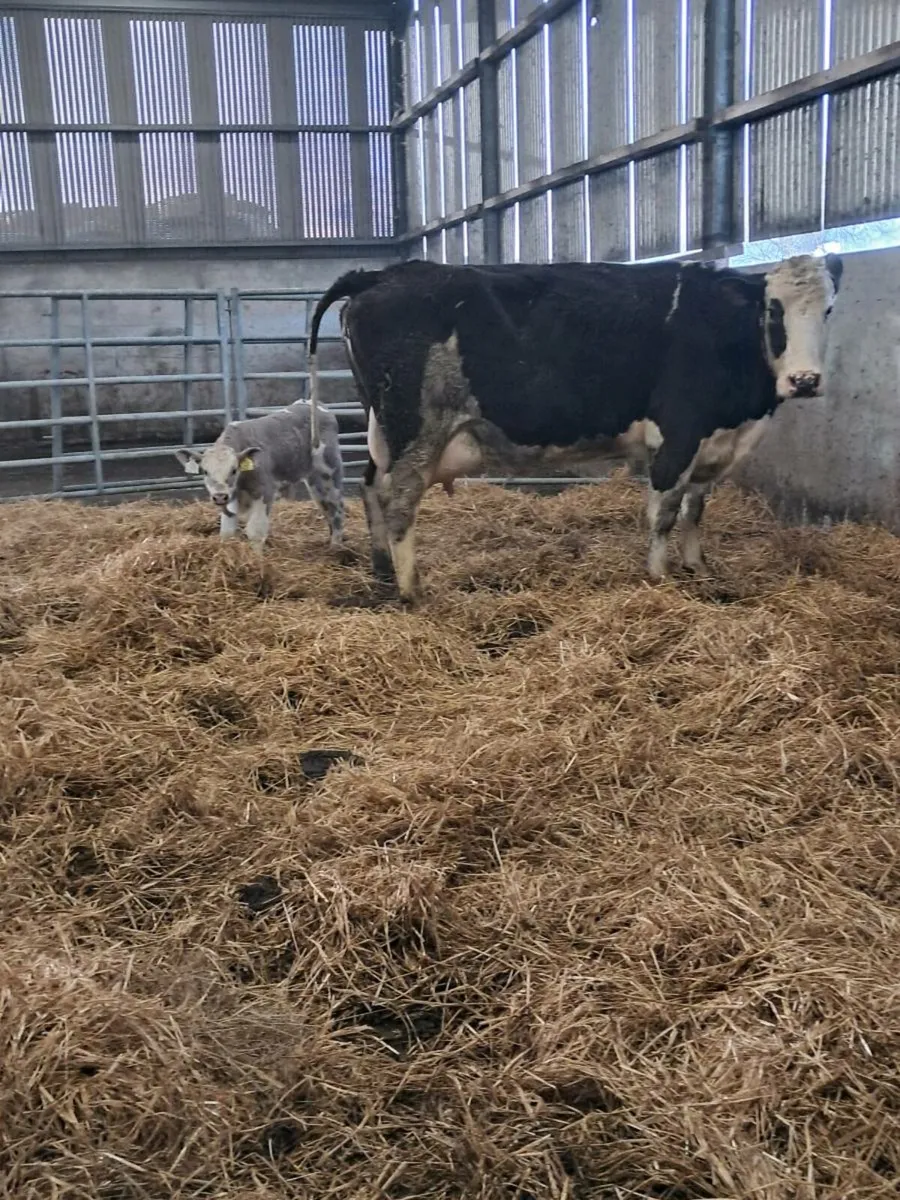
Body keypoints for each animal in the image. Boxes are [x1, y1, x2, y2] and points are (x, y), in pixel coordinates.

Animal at [175, 399, 344, 550]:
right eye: (205, 471)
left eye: (234, 470)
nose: (220, 496)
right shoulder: (230, 501)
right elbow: (227, 532)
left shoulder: (264, 493)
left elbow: (256, 531)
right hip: (314, 481)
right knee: (325, 507)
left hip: (330, 472)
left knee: (337, 508)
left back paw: (336, 549)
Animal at [307, 253, 843, 604]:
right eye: (773, 310)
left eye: (829, 309)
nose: (805, 380)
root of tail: (381, 274)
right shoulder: (678, 433)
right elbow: (664, 513)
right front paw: (659, 579)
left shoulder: (713, 443)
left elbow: (696, 510)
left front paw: (698, 567)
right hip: (417, 431)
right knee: (398, 503)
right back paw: (412, 592)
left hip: (384, 430)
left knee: (369, 487)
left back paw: (381, 571)